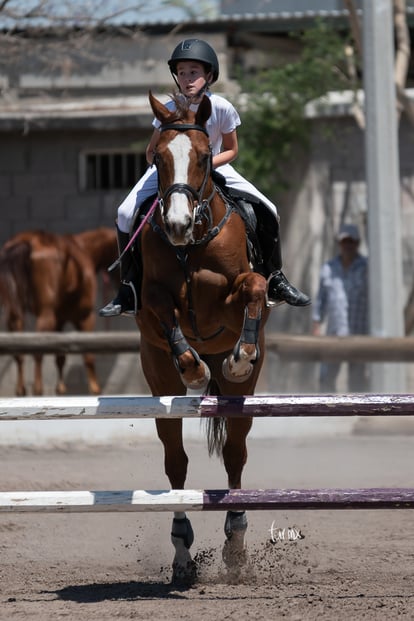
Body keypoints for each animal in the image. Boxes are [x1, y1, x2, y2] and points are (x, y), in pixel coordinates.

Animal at [0, 226, 118, 392]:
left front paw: (61, 389)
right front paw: (94, 389)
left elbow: (60, 355)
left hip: (15, 316)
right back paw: (38, 390)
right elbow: (88, 355)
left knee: (19, 353)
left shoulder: (60, 320)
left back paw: (21, 391)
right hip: (45, 316)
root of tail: (26, 241)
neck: (84, 249)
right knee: (37, 351)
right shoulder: (85, 317)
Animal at [137, 92, 272, 580]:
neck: (191, 245)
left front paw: (240, 354)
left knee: (235, 452)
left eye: (202, 157)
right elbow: (164, 311)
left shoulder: (234, 293)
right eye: (157, 158)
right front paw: (193, 369)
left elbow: (255, 287)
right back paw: (182, 555)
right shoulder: (153, 302)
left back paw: (236, 545)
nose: (176, 224)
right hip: (158, 382)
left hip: (243, 398)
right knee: (176, 464)